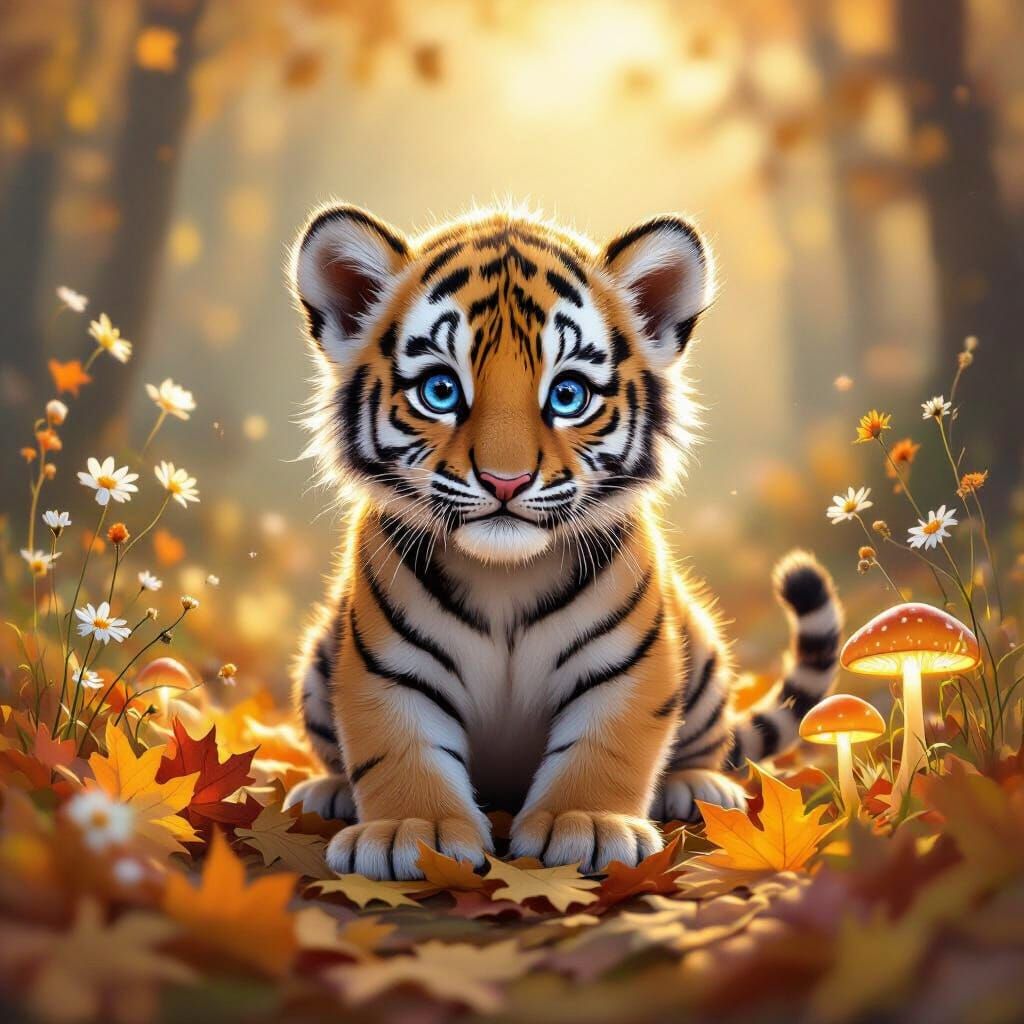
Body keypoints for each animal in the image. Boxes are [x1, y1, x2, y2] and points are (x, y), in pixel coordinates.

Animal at [283, 202, 842, 881]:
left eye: (568, 395)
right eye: (441, 390)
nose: (506, 480)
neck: (503, 576)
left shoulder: (627, 665)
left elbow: (606, 748)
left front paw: (586, 825)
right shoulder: (388, 669)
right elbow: (400, 750)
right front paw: (413, 833)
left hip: (703, 652)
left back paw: (696, 787)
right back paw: (328, 793)